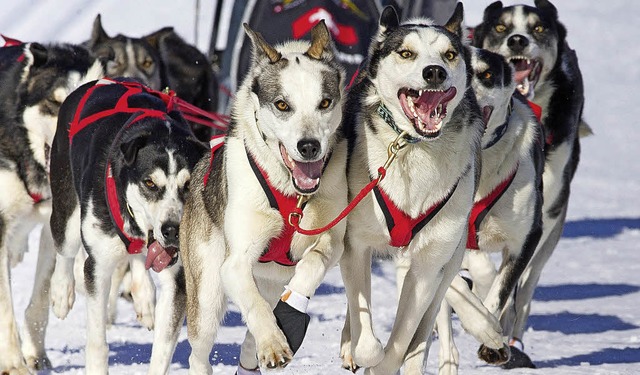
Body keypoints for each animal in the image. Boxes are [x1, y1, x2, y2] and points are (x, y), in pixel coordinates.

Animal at [0, 40, 106, 374]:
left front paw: (35, 353)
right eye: (53, 103)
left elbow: (42, 294)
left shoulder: (54, 217)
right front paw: (13, 362)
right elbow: (5, 308)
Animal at [48, 77, 206, 374]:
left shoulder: (177, 279)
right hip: (66, 208)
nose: (173, 230)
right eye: (150, 183)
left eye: (189, 184)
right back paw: (61, 293)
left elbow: (162, 349)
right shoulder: (98, 266)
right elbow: (97, 343)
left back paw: (143, 294)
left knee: (137, 258)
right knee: (65, 249)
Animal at [180, 22, 348, 374]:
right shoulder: (235, 264)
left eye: (325, 103)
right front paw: (272, 343)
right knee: (199, 351)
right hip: (207, 297)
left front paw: (293, 305)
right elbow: (254, 305)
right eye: (283, 105)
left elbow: (313, 261)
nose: (309, 146)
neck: (292, 194)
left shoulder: (333, 238)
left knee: (248, 343)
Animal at [338, 5, 482, 375]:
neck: (412, 147)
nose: (435, 72)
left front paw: (390, 360)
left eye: (449, 55)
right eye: (406, 53)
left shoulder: (427, 267)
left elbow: (401, 341)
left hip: (450, 259)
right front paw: (363, 350)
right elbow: (365, 331)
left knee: (426, 322)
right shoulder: (356, 245)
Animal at [476, 0, 584, 366]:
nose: (518, 40)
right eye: (500, 27)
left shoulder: (531, 231)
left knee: (526, 287)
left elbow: (506, 289)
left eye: (538, 28)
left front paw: (493, 337)